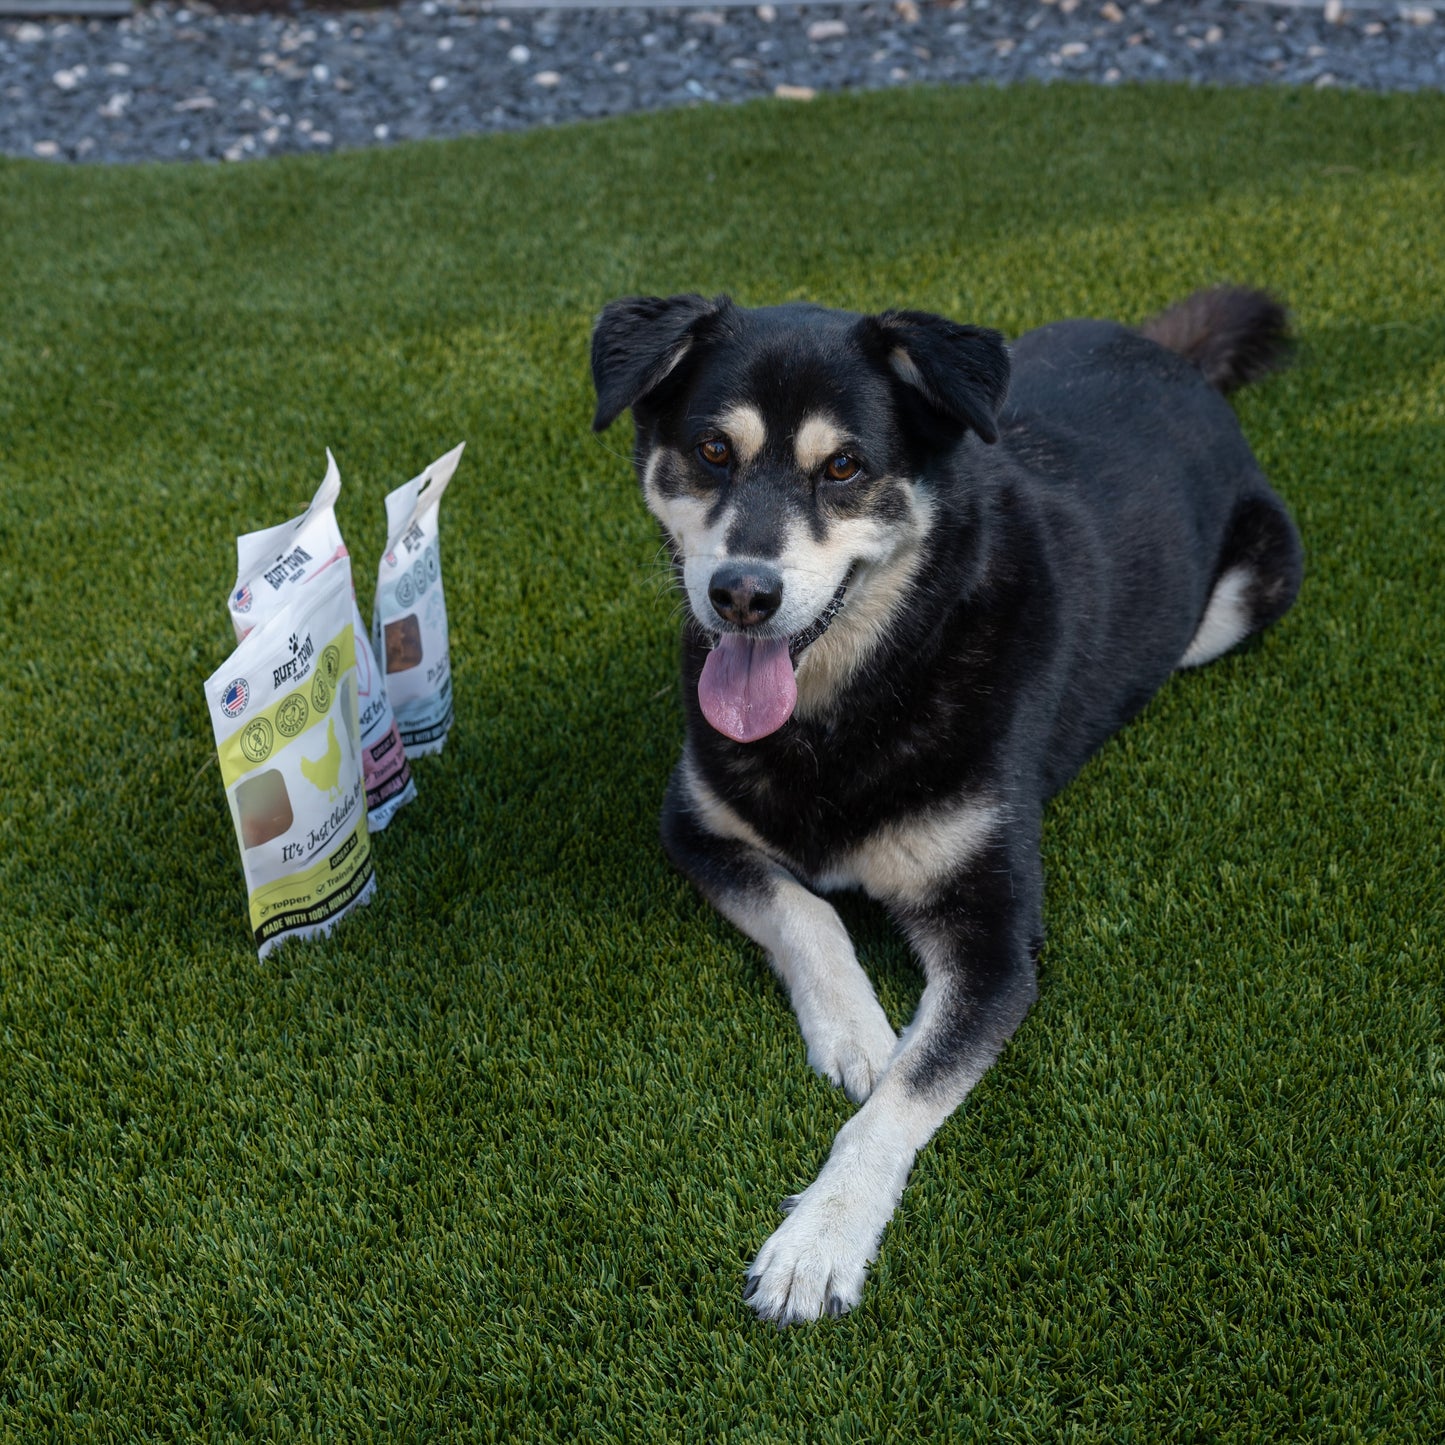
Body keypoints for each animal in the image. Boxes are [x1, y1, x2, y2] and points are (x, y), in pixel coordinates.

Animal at [592, 287, 1306, 1323]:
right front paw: (856, 1033)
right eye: (713, 449)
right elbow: (804, 910)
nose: (740, 594)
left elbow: (900, 1100)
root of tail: (1164, 354)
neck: (854, 696)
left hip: (1246, 593)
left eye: (844, 466)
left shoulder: (995, 938)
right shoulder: (694, 824)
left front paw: (817, 1241)